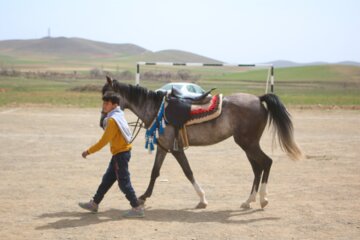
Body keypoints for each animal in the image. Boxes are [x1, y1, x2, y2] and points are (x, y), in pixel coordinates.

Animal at [102, 76, 302, 208]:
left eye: (108, 97)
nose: (103, 120)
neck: (157, 110)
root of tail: (259, 99)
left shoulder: (175, 149)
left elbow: (188, 172)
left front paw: (202, 199)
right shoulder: (164, 148)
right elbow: (155, 172)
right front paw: (143, 196)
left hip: (248, 144)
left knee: (266, 163)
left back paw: (262, 199)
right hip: (248, 145)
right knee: (257, 168)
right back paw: (249, 201)